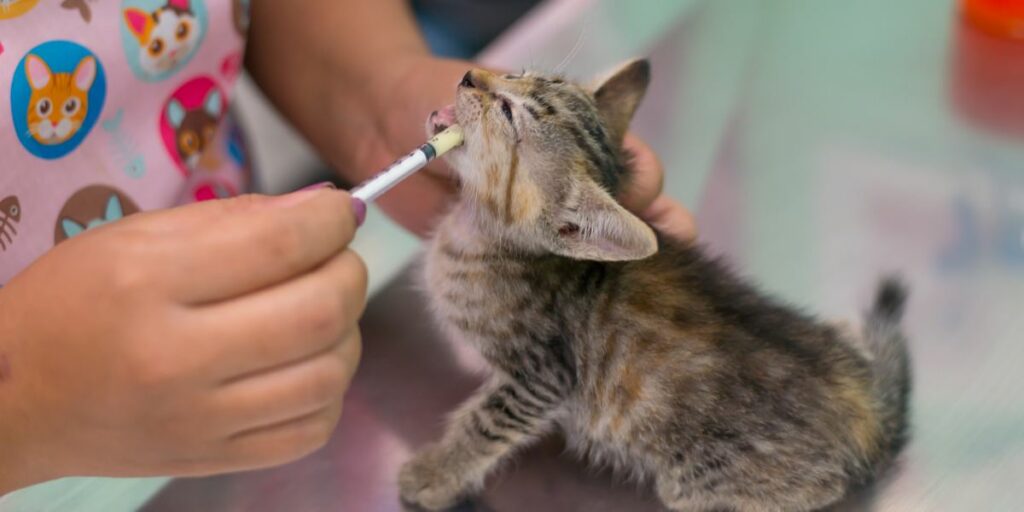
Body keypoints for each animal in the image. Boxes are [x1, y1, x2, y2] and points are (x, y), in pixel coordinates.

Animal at [399, 58, 913, 512]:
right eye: (516, 73)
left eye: (508, 111)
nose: (469, 74)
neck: (480, 233)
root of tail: (871, 415)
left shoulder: (542, 376)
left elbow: (483, 424)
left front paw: (435, 474)